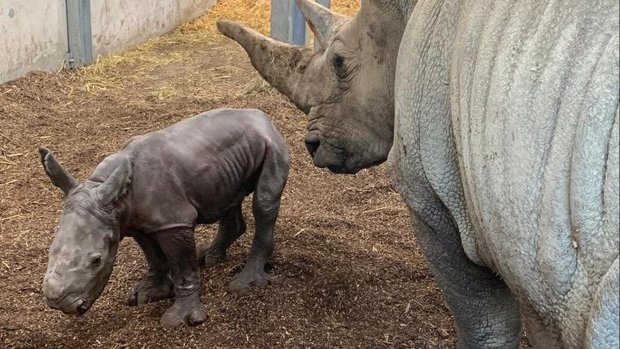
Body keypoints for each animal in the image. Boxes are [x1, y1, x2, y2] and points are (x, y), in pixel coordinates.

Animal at [40, 108, 290, 326]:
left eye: (96, 260)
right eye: (50, 251)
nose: (59, 303)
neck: (112, 198)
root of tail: (261, 116)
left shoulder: (173, 222)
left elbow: (182, 268)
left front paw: (181, 319)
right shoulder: (135, 222)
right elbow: (154, 257)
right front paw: (148, 294)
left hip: (272, 144)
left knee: (264, 202)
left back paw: (245, 283)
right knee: (229, 196)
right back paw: (208, 257)